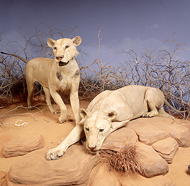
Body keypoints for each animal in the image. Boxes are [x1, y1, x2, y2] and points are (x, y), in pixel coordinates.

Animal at [46, 85, 178, 159]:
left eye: (101, 130)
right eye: (87, 129)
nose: (91, 147)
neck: (101, 107)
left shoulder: (127, 116)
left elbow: (113, 125)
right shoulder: (83, 122)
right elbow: (69, 137)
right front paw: (55, 151)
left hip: (150, 92)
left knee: (155, 110)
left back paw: (148, 114)